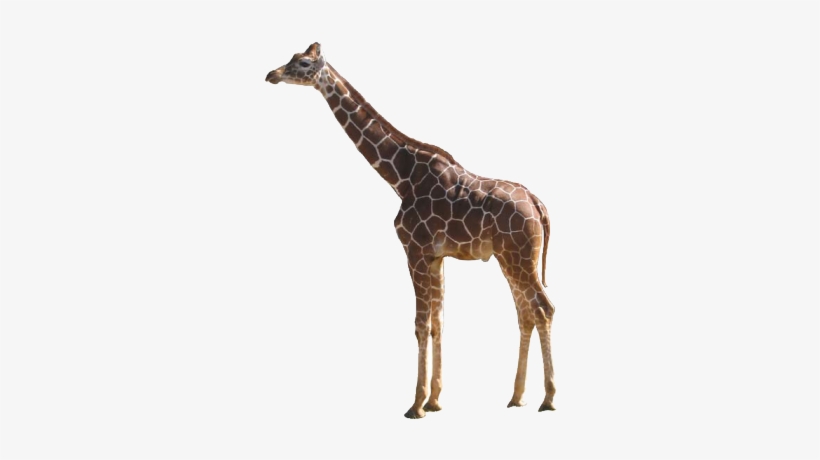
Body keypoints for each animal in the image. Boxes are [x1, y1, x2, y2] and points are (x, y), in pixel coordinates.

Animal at [265, 43, 557, 419]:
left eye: (301, 63)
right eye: (290, 58)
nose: (271, 74)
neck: (400, 177)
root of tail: (538, 205)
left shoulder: (414, 250)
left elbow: (420, 325)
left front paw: (415, 405)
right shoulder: (436, 257)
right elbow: (437, 322)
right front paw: (435, 401)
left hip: (519, 257)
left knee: (543, 309)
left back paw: (548, 399)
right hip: (511, 259)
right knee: (525, 313)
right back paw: (517, 396)